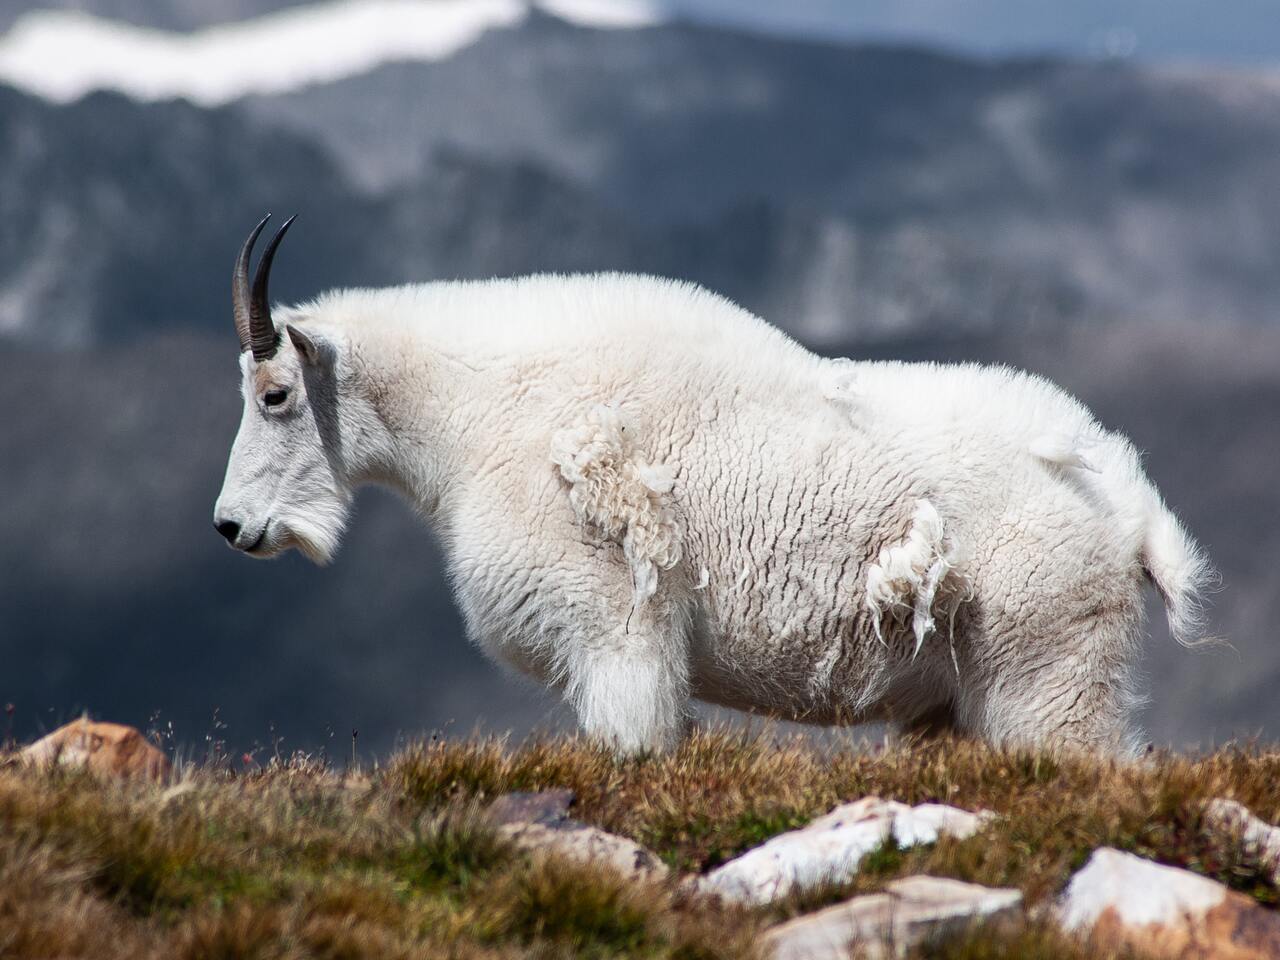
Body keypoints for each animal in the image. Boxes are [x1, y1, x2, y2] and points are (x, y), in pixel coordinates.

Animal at [209, 213, 1208, 757]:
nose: (232, 527)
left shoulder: (616, 633)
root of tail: (1134, 509)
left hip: (1048, 675)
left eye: (274, 393)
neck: (477, 413)